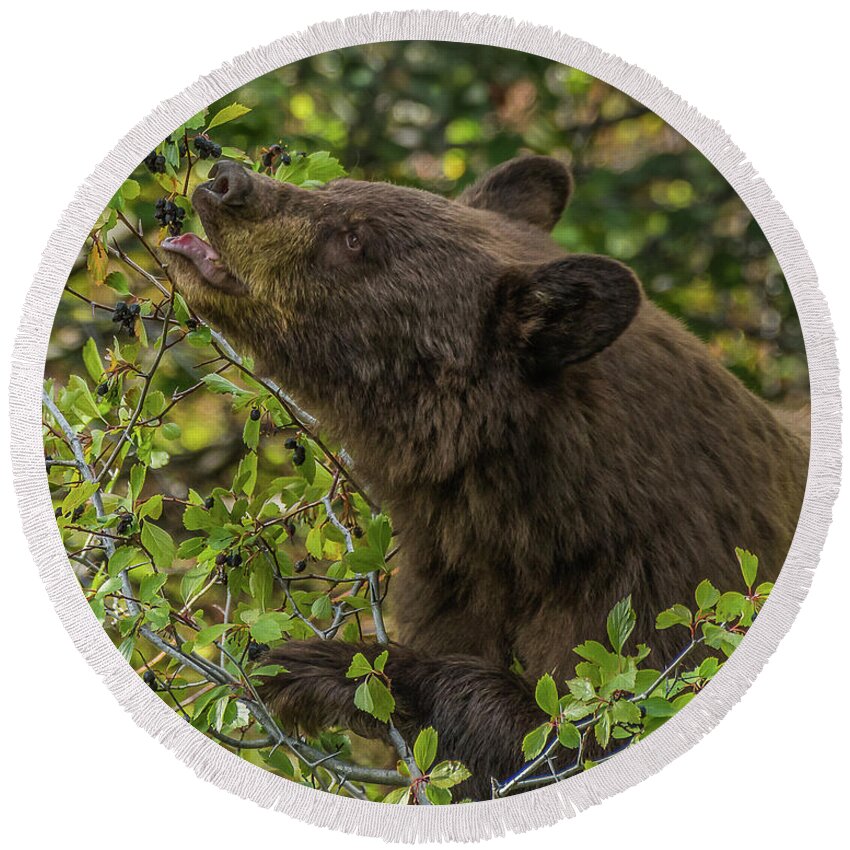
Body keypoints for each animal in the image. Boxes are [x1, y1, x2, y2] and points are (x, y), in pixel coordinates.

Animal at [162, 156, 804, 800]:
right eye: (335, 189)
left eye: (355, 236)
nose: (228, 180)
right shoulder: (453, 577)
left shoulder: (660, 587)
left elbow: (569, 735)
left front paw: (319, 666)